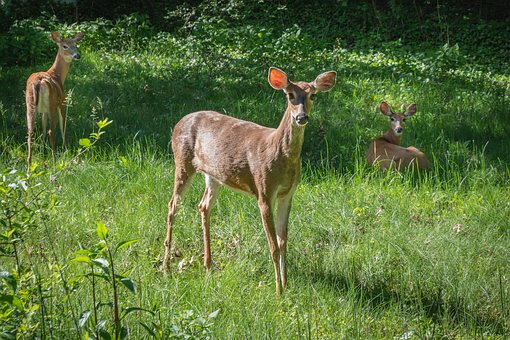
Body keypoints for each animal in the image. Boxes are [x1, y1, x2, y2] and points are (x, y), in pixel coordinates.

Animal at [25, 31, 84, 165]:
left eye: (75, 44)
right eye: (65, 46)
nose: (77, 55)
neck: (57, 75)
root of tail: (39, 81)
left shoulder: (44, 111)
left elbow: (43, 127)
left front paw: (42, 151)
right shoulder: (61, 102)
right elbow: (63, 126)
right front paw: (67, 149)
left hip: (30, 104)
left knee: (31, 131)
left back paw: (29, 164)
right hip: (52, 103)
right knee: (51, 131)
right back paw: (53, 159)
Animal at [163, 67, 336, 294]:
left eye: (312, 95)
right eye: (290, 95)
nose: (301, 117)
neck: (279, 155)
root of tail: (177, 123)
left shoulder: (288, 194)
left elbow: (283, 241)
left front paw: (286, 284)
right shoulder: (263, 190)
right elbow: (273, 246)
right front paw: (278, 291)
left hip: (214, 175)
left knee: (203, 206)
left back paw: (208, 265)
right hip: (182, 162)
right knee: (172, 205)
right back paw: (166, 267)